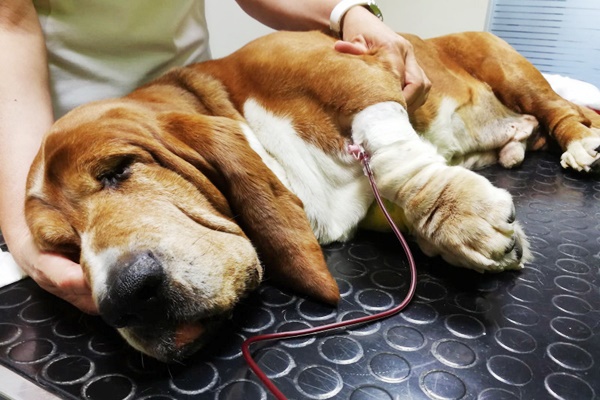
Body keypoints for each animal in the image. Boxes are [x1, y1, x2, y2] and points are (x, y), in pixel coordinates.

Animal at [24, 31, 600, 360]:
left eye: (118, 170)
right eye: (64, 249)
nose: (123, 298)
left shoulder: (345, 69)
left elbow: (395, 159)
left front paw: (454, 209)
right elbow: (397, 198)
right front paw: (440, 226)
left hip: (509, 67)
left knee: (560, 107)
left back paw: (580, 144)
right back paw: (516, 146)